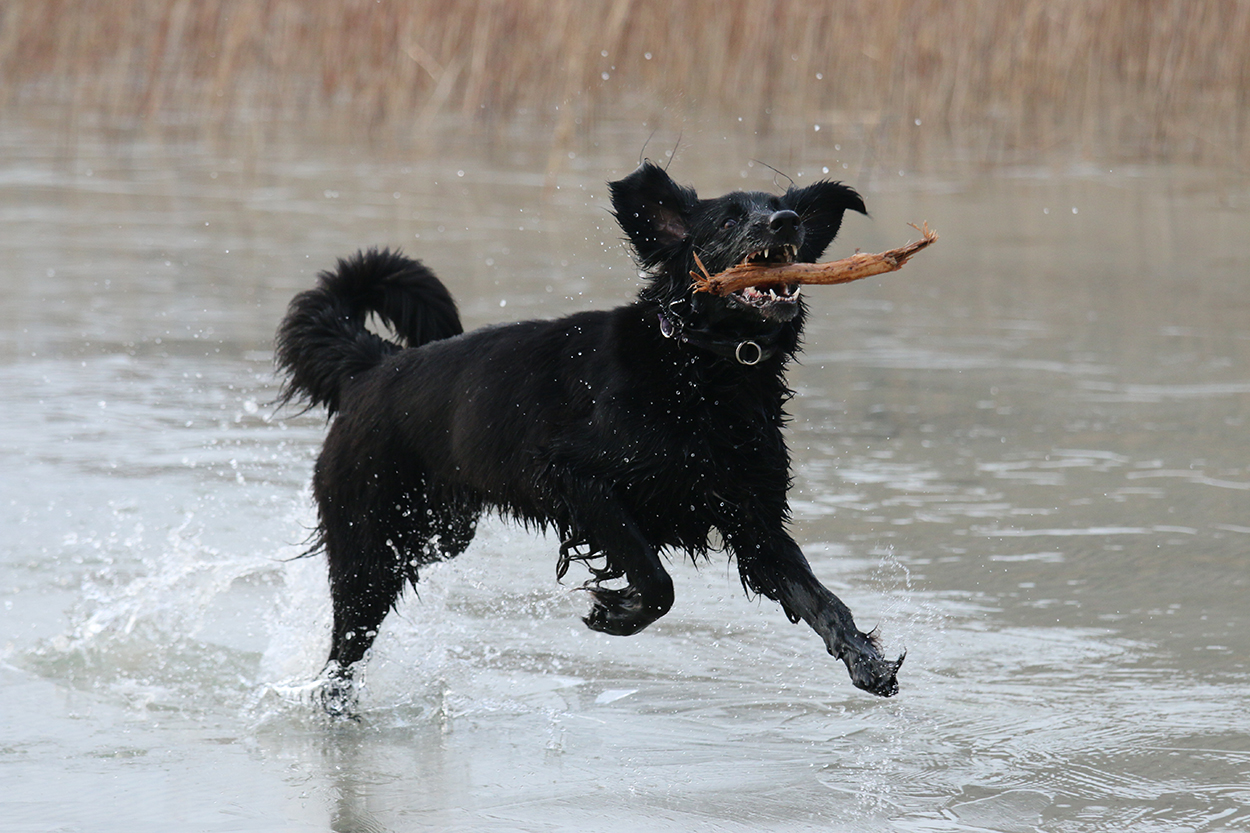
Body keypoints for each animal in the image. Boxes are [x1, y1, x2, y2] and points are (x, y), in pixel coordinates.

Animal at [276, 161, 903, 715]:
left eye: (784, 208)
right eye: (728, 221)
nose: (786, 223)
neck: (700, 374)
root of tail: (374, 368)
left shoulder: (753, 522)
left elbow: (821, 599)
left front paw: (866, 661)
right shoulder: (570, 476)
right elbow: (656, 578)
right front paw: (617, 612)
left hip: (440, 532)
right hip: (369, 549)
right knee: (343, 652)